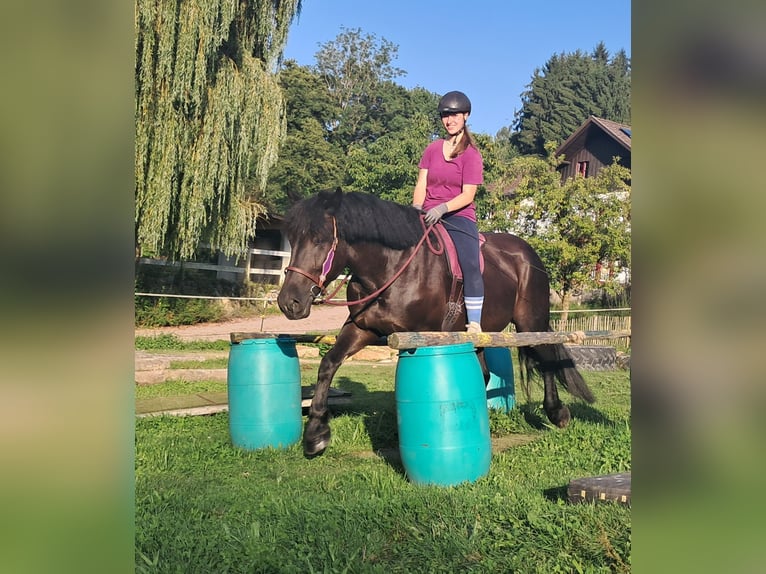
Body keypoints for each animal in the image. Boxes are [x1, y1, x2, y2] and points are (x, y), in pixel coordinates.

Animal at [277, 189, 595, 457]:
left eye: (319, 239)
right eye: (292, 238)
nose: (289, 302)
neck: (391, 267)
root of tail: (527, 253)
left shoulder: (417, 337)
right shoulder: (362, 329)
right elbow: (328, 364)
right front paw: (316, 434)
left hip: (531, 322)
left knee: (547, 359)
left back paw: (556, 412)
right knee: (486, 373)